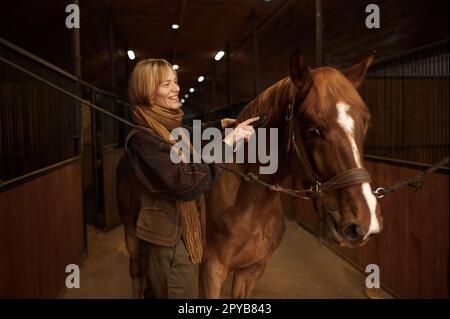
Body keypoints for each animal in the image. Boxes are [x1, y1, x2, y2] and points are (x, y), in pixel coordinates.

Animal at [116, 50, 384, 300]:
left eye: (366, 124)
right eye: (313, 130)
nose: (365, 222)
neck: (251, 205)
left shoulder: (252, 270)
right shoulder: (211, 271)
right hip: (131, 234)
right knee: (136, 273)